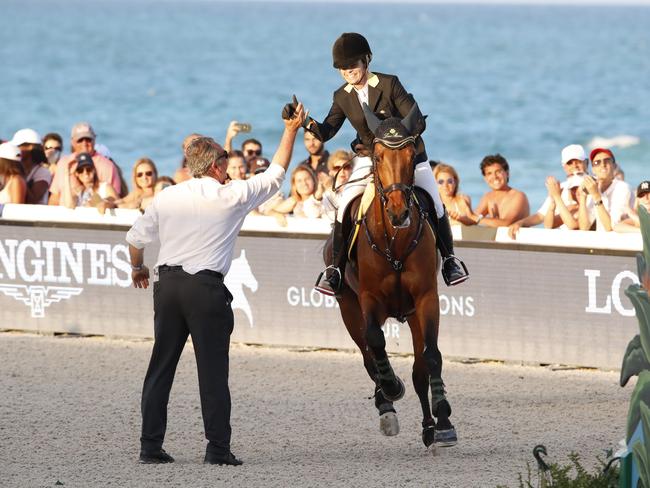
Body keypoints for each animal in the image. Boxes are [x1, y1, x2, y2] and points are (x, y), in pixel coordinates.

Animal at [324, 103, 456, 450]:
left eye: (411, 155)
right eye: (379, 157)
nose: (399, 212)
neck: (394, 240)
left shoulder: (425, 299)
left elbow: (431, 358)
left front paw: (444, 422)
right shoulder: (368, 300)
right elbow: (375, 343)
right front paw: (391, 388)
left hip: (409, 314)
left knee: (418, 370)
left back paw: (429, 427)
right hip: (348, 307)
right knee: (369, 355)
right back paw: (386, 405)